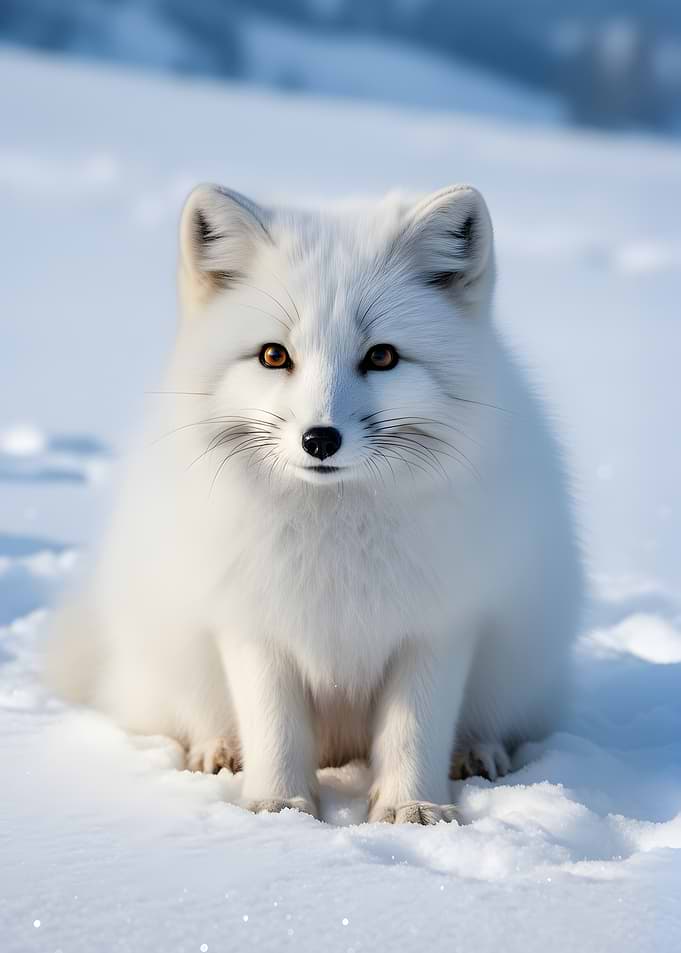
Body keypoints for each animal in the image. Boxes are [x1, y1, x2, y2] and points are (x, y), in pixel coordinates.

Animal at [46, 183, 583, 824]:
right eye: (274, 356)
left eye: (382, 357)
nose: (320, 439)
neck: (336, 534)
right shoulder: (255, 625)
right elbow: (275, 729)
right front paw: (280, 808)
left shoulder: (438, 627)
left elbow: (415, 731)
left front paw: (414, 808)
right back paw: (219, 750)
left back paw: (474, 754)